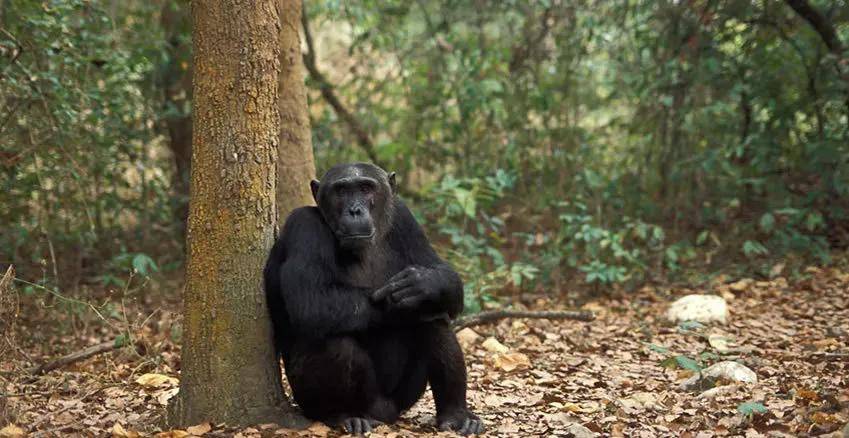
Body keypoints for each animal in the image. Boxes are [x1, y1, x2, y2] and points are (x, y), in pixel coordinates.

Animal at [262, 163, 480, 434]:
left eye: (366, 188)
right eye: (342, 190)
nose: (355, 210)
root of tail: (384, 413)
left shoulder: (405, 218)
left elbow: (445, 275)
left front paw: (422, 284)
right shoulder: (303, 227)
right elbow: (312, 300)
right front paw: (396, 302)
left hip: (404, 397)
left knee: (433, 318)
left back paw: (455, 415)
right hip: (324, 401)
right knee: (335, 343)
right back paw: (344, 416)